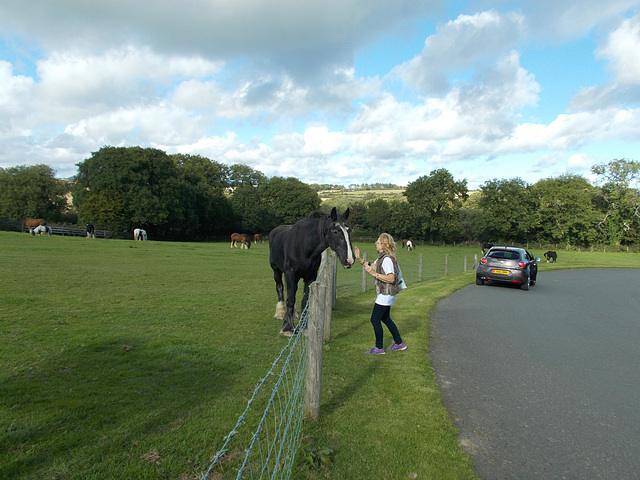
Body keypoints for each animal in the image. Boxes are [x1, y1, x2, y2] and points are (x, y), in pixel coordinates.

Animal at [266, 208, 352, 336]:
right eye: (335, 231)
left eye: (349, 230)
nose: (349, 260)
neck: (303, 244)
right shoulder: (290, 273)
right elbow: (290, 299)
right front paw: (287, 328)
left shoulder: (310, 276)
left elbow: (305, 300)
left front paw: (304, 326)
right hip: (277, 271)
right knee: (280, 288)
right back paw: (281, 313)